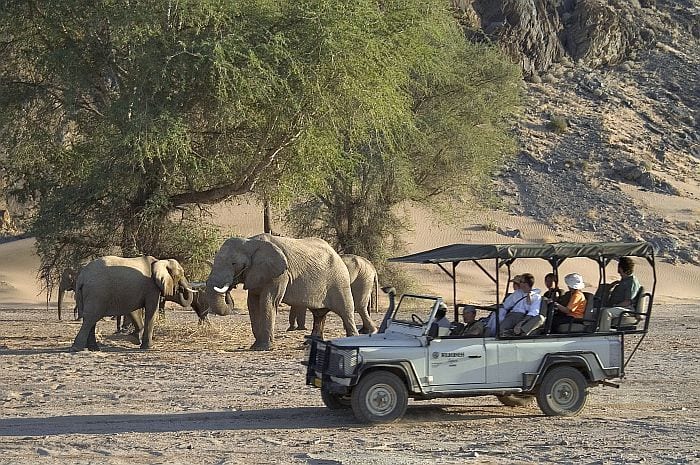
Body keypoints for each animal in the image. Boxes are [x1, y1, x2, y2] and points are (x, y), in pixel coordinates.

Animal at [205, 234, 360, 350]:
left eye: (234, 264)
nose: (230, 288)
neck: (250, 242)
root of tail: (337, 254)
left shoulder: (280, 274)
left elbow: (268, 302)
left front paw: (263, 348)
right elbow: (253, 304)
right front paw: (255, 346)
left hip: (339, 280)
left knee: (345, 311)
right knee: (319, 314)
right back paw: (309, 345)